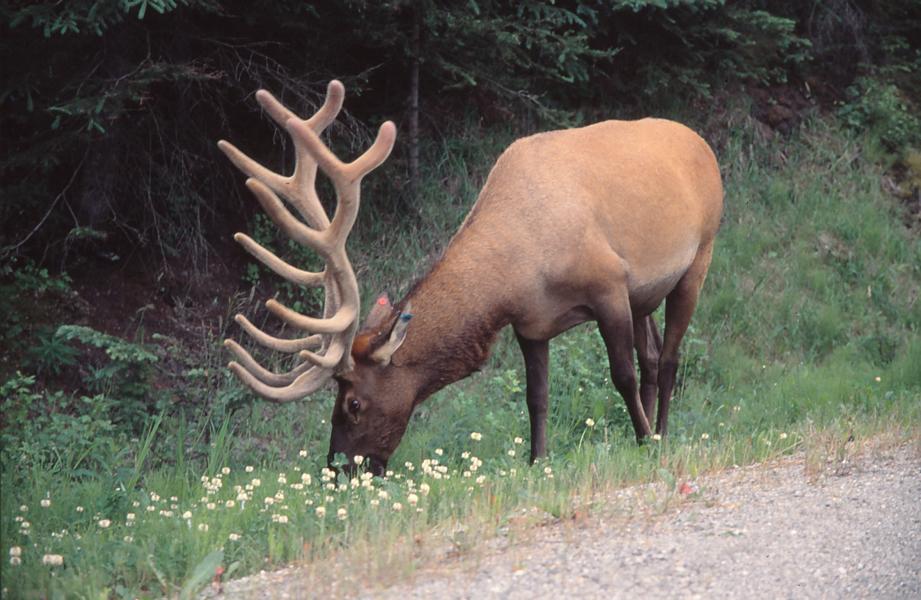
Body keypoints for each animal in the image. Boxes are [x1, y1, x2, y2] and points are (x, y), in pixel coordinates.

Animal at [219, 79, 724, 476]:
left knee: (669, 359)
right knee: (653, 354)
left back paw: (661, 434)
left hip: (698, 257)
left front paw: (642, 442)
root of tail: (703, 143)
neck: (517, 273)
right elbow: (536, 396)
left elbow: (621, 375)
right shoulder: (532, 323)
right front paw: (537, 462)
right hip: (646, 293)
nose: (338, 470)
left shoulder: (609, 285)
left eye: (354, 403)